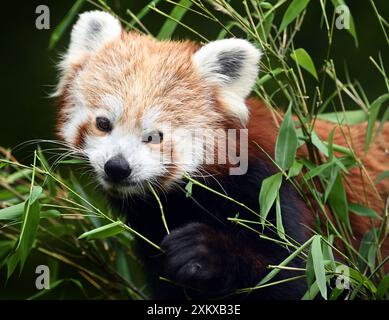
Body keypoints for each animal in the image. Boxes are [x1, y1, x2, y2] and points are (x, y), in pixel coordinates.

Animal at [55, 10, 388, 300]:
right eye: (103, 123)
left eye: (155, 136)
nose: (117, 167)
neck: (185, 201)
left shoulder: (275, 191)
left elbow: (299, 274)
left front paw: (203, 252)